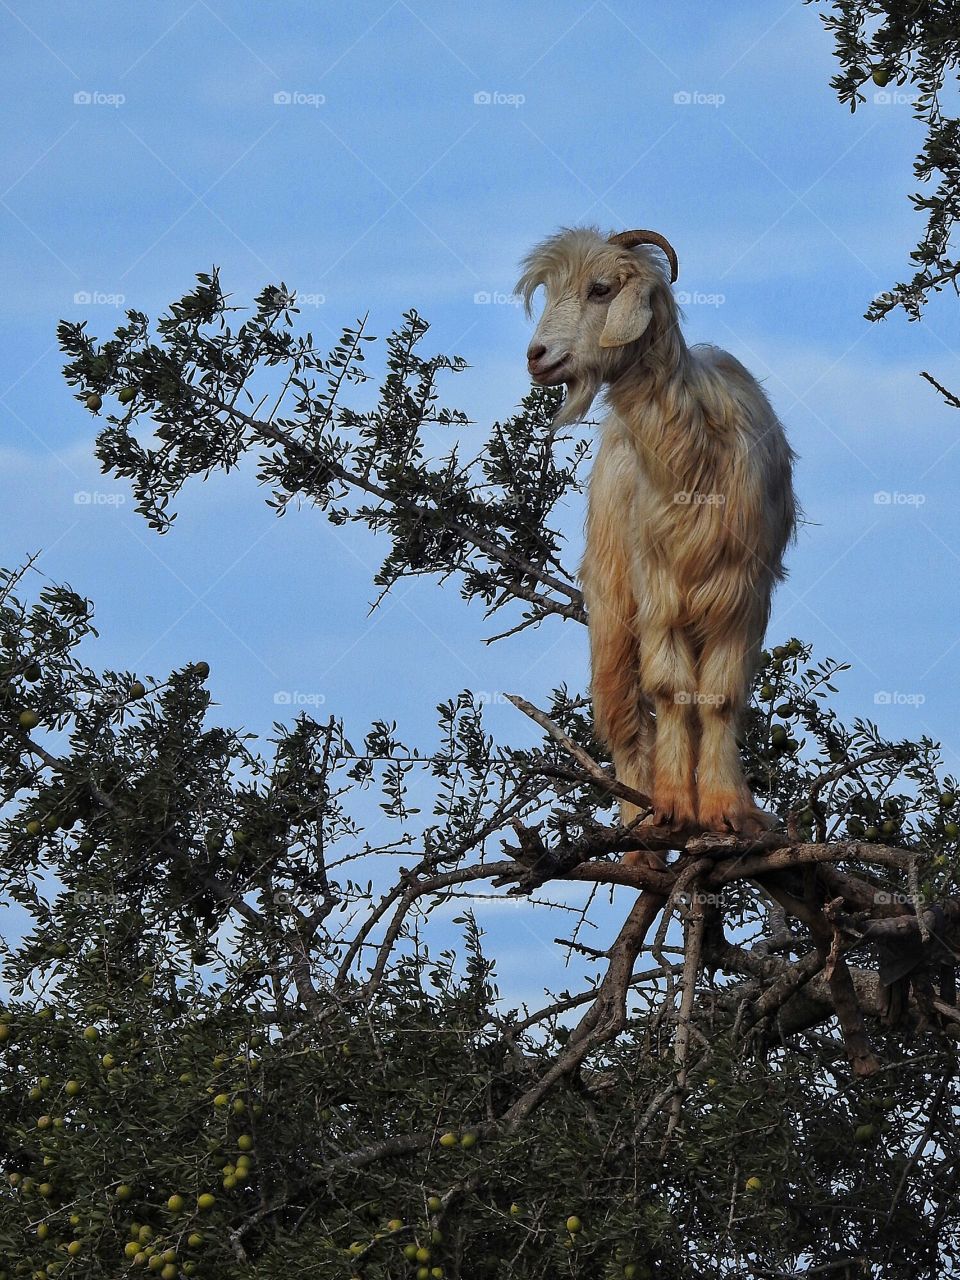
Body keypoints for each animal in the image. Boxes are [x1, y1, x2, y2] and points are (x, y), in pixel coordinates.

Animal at [519, 225, 798, 834]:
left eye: (601, 289)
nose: (537, 356)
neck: (694, 464)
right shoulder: (659, 585)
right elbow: (670, 690)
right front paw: (674, 804)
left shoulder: (741, 591)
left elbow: (718, 696)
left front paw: (725, 809)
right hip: (612, 593)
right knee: (625, 715)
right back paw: (641, 834)